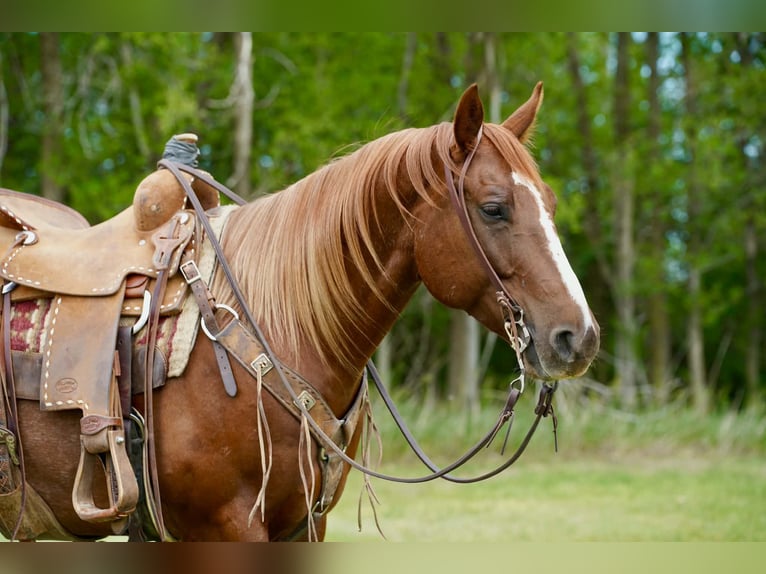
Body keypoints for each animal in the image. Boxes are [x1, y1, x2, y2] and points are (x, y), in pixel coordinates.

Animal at [6, 82, 599, 541]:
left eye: (550, 203)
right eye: (494, 209)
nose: (579, 337)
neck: (275, 332)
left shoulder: (306, 522)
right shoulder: (229, 525)